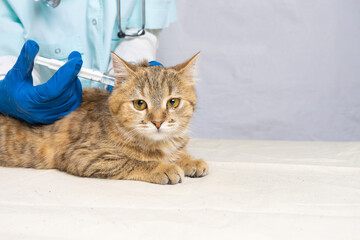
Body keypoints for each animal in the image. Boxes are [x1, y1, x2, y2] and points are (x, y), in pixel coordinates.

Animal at [0, 52, 208, 184]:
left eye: (173, 102)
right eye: (140, 104)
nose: (158, 122)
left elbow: (176, 154)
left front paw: (189, 160)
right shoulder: (82, 155)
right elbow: (133, 161)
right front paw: (162, 167)